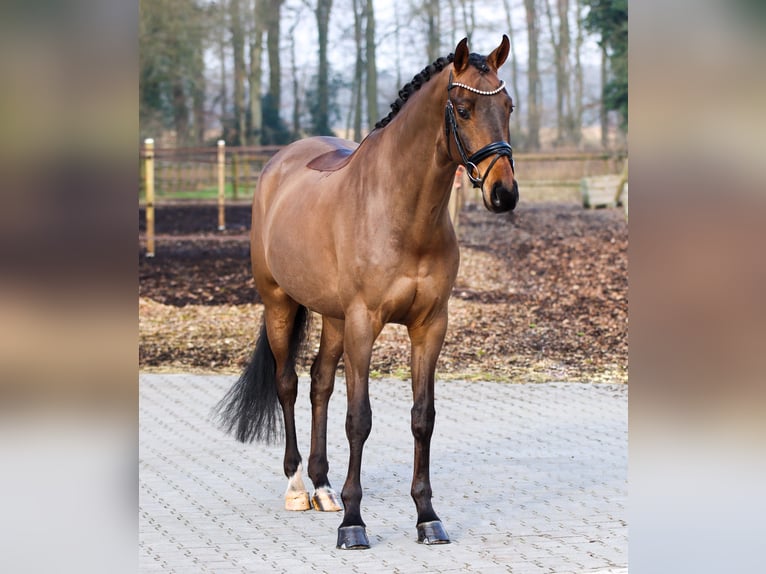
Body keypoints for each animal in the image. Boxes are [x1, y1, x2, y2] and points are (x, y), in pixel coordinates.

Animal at [213, 37, 520, 552]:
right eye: (463, 108)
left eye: (509, 107)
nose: (504, 194)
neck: (402, 214)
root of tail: (279, 163)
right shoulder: (364, 323)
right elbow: (359, 419)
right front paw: (354, 525)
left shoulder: (430, 325)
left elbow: (422, 417)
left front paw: (427, 518)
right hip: (279, 303)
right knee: (287, 384)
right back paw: (297, 487)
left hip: (333, 317)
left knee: (319, 384)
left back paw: (323, 488)